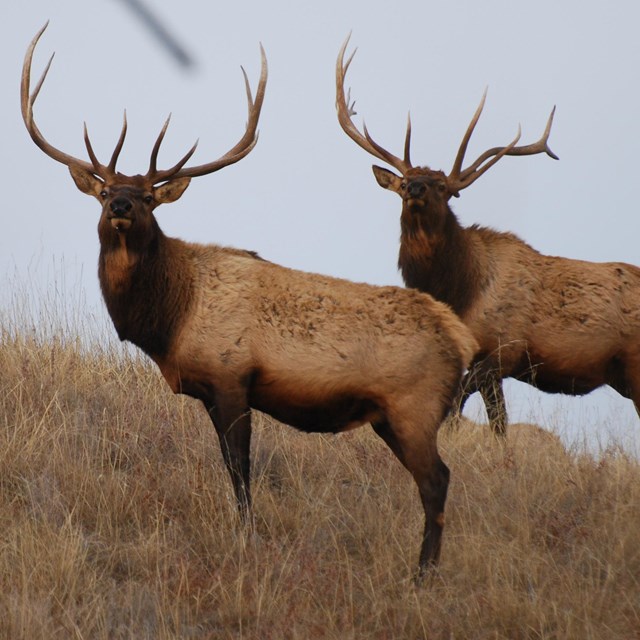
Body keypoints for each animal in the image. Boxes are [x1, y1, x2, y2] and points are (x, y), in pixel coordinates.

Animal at [21, 23, 480, 576]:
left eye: (150, 197)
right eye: (105, 190)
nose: (123, 205)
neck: (170, 320)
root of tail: (460, 337)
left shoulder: (232, 376)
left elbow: (240, 470)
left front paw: (246, 535)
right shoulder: (209, 390)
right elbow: (230, 466)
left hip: (415, 405)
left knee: (437, 481)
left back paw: (422, 574)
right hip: (393, 417)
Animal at [336, 36, 640, 436]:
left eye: (443, 187)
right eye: (403, 183)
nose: (415, 187)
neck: (459, 291)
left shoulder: (502, 350)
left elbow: (461, 408)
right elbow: (495, 422)